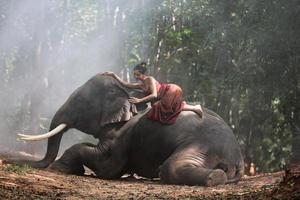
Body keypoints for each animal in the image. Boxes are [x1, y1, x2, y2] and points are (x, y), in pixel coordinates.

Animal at [4, 74, 244, 187]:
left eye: (80, 102)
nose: (7, 160)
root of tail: (238, 157)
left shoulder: (121, 138)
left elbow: (107, 166)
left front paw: (60, 168)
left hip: (202, 145)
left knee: (171, 167)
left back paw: (214, 177)